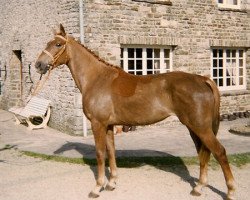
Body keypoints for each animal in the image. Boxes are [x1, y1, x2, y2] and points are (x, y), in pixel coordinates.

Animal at [34, 25, 234, 200]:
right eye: (48, 42)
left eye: (57, 44)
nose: (38, 64)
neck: (97, 79)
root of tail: (203, 79)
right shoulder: (109, 126)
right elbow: (111, 152)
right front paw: (111, 183)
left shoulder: (98, 124)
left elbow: (100, 153)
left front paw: (97, 188)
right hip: (194, 128)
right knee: (203, 152)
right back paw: (198, 188)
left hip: (200, 127)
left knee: (219, 152)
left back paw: (230, 191)